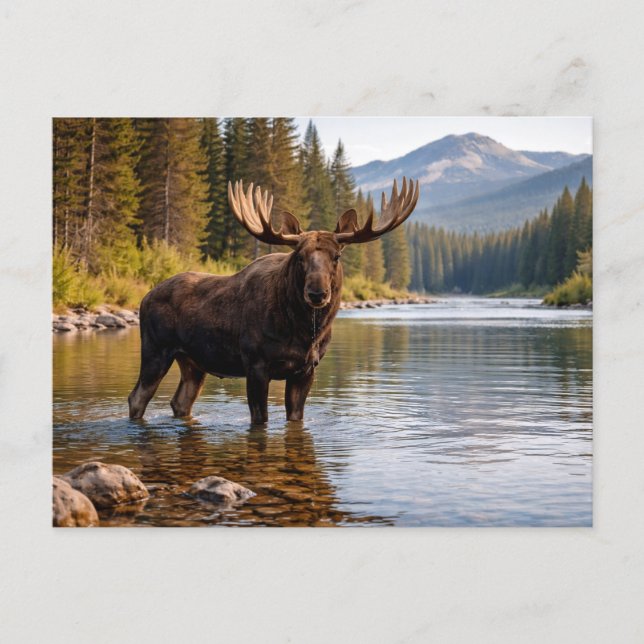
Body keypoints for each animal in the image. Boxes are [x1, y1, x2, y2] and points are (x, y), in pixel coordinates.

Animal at [128, 177, 419, 425]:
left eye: (336, 256)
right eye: (299, 256)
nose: (317, 293)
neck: (303, 331)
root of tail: (144, 298)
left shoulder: (306, 369)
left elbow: (295, 418)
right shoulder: (255, 364)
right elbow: (261, 419)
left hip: (193, 362)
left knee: (180, 402)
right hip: (156, 349)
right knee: (137, 397)